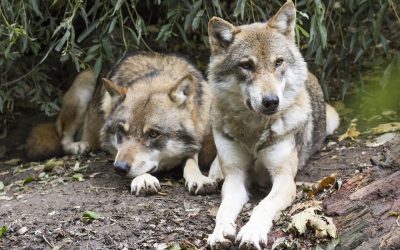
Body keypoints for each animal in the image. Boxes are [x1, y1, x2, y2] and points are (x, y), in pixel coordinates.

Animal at [26, 52, 217, 196]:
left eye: (153, 134)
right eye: (121, 131)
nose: (119, 168)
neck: (156, 74)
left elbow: (191, 159)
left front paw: (199, 178)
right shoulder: (114, 149)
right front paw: (144, 179)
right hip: (82, 90)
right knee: (63, 137)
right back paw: (79, 146)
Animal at [206, 0, 340, 249]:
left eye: (278, 62)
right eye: (246, 65)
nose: (271, 101)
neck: (253, 130)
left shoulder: (284, 180)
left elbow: (262, 206)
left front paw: (251, 232)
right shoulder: (235, 178)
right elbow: (223, 210)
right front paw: (219, 233)